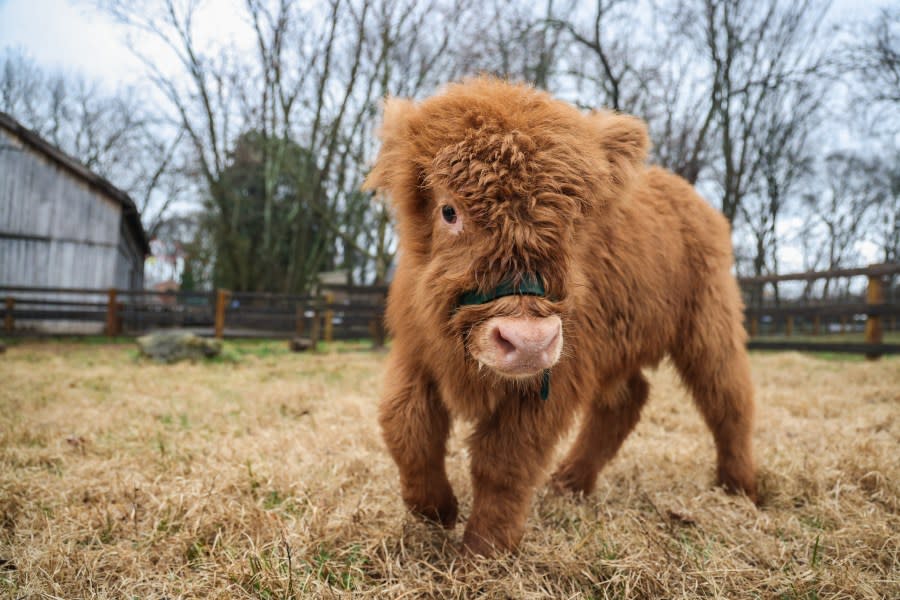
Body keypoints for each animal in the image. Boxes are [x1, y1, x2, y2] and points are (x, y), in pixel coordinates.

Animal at [362, 77, 756, 556]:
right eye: (449, 210)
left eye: (572, 220)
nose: (528, 340)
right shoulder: (417, 352)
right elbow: (405, 425)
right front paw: (435, 510)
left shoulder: (553, 380)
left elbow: (504, 462)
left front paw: (484, 550)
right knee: (627, 401)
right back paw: (570, 482)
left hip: (710, 322)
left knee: (728, 396)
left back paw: (741, 486)